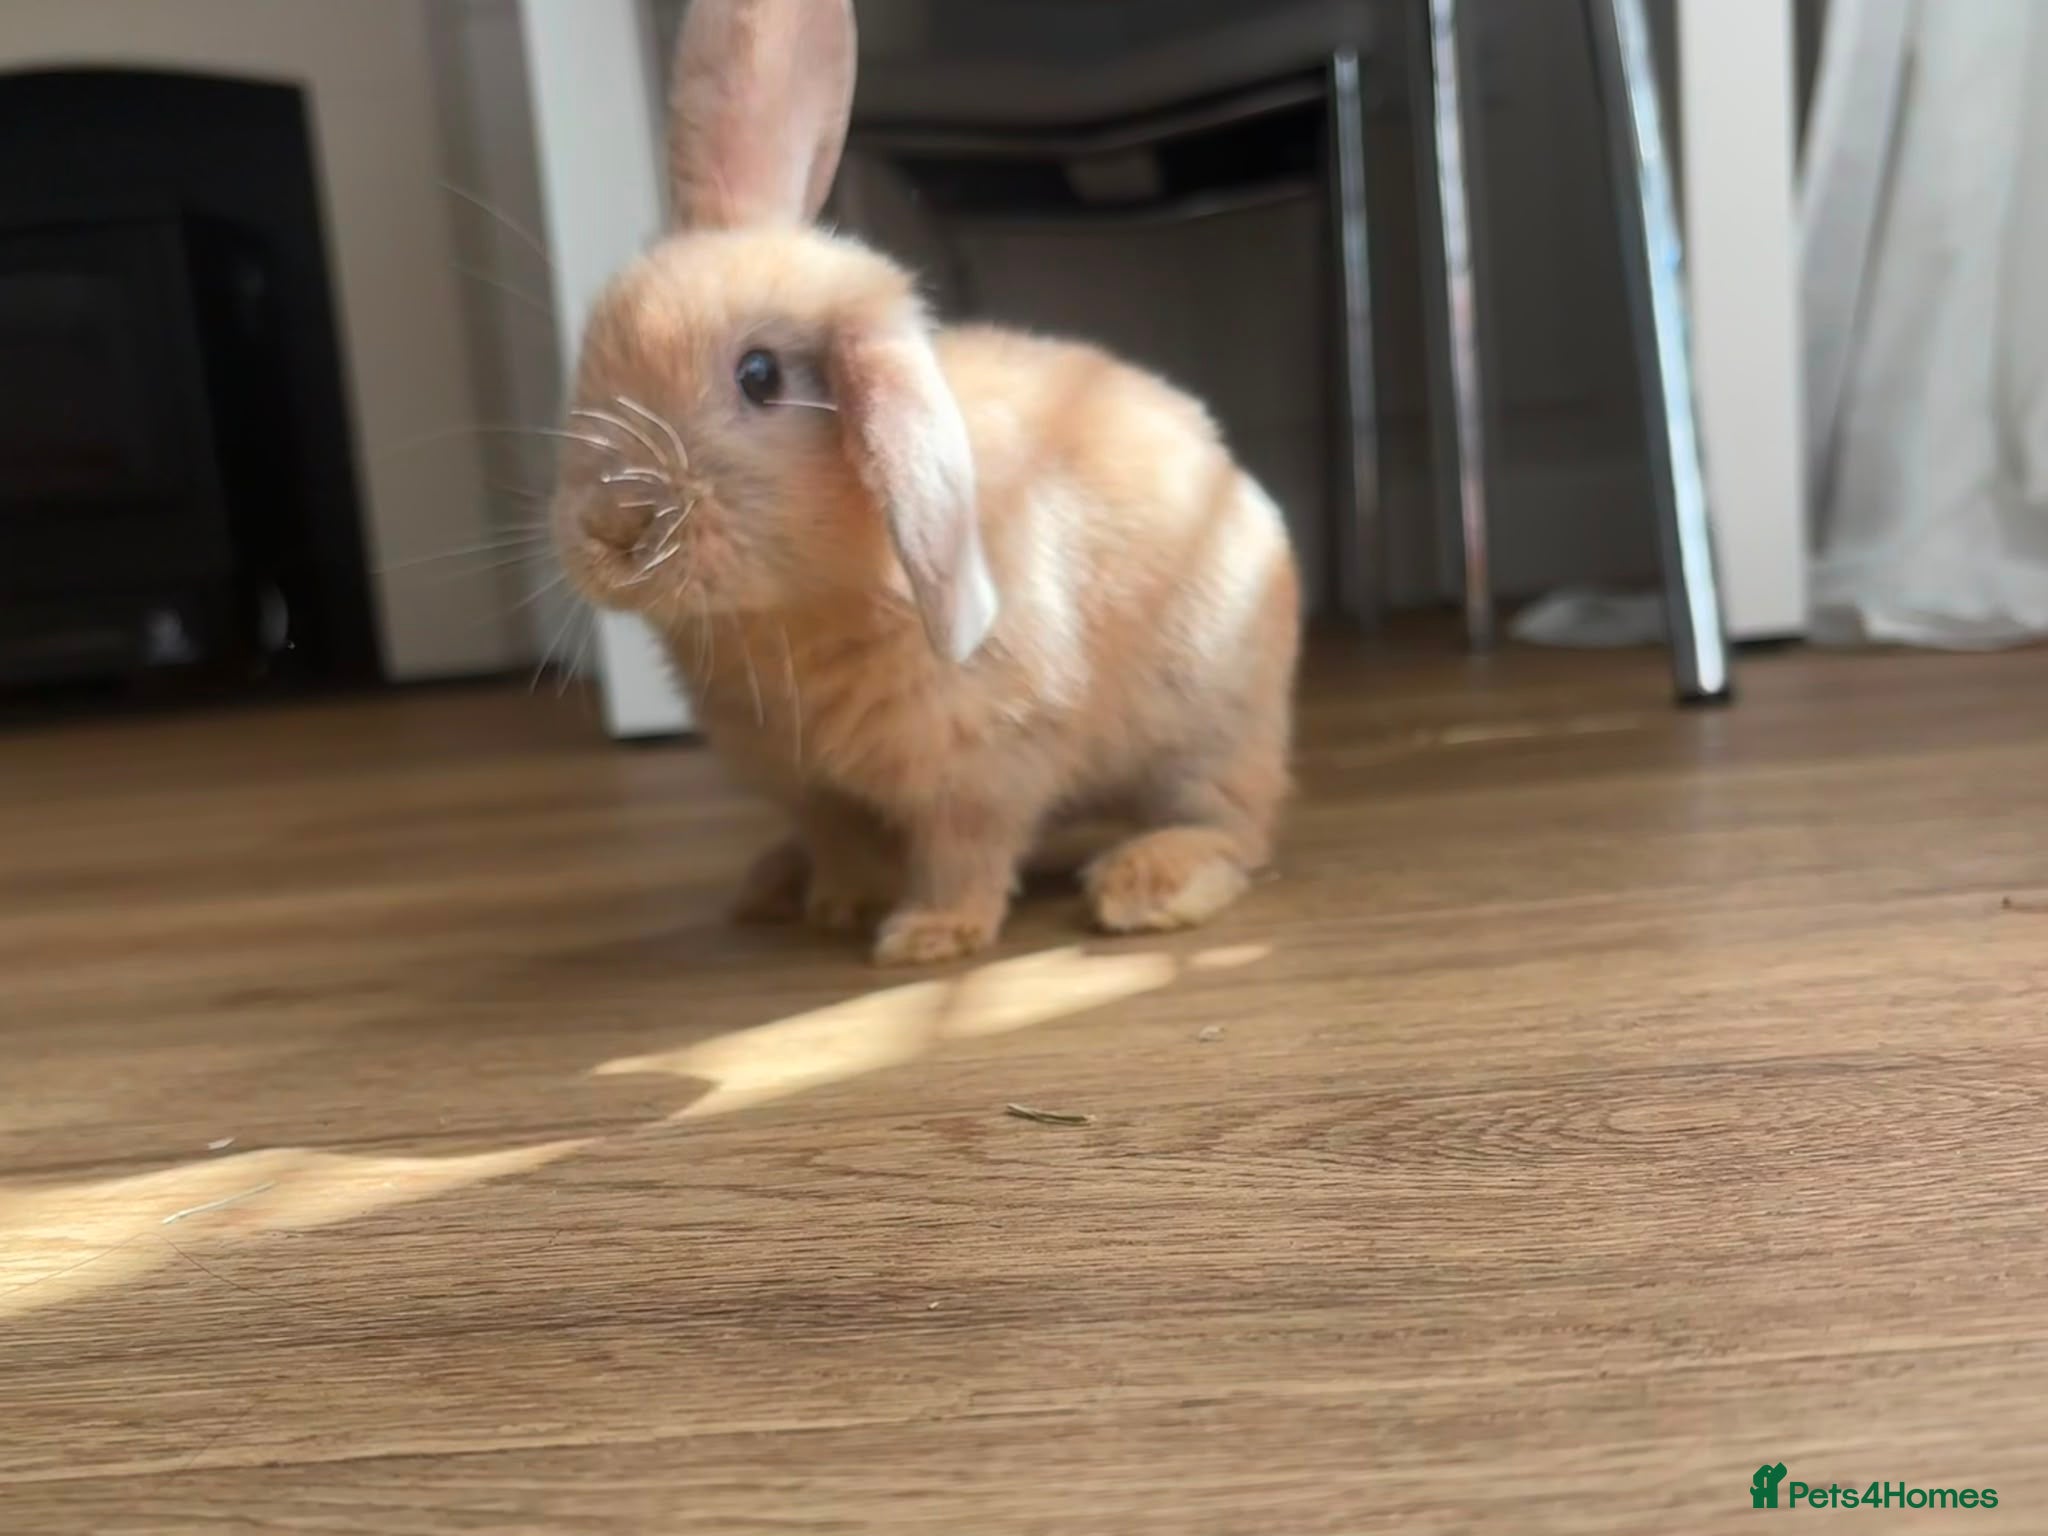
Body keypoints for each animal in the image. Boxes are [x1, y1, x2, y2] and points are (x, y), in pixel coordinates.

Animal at [551, 0, 1302, 967]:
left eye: (760, 377)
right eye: (590, 358)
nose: (614, 523)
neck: (790, 615)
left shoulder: (980, 762)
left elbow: (963, 853)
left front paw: (924, 937)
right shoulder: (812, 787)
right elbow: (839, 840)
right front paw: (840, 906)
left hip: (1207, 730)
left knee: (1236, 828)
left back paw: (1146, 885)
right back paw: (770, 886)